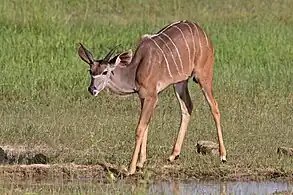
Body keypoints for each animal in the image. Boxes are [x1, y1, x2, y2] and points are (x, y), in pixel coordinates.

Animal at [77, 20, 226, 175]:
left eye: (105, 71)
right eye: (90, 71)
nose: (92, 89)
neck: (136, 69)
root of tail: (203, 34)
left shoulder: (151, 97)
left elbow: (140, 128)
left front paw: (131, 168)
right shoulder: (143, 97)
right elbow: (146, 125)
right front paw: (141, 162)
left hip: (204, 75)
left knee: (214, 107)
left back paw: (222, 155)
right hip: (180, 82)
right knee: (187, 107)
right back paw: (173, 155)